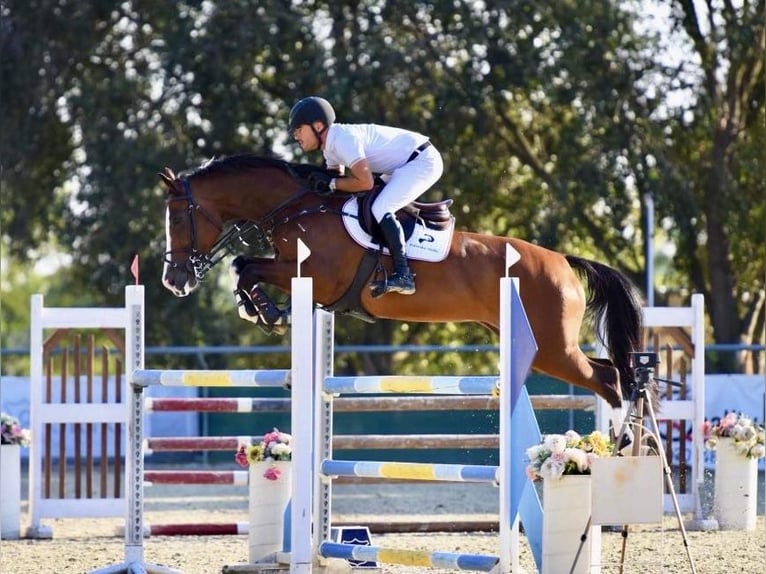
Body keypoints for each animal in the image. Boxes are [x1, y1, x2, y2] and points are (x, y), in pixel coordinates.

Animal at [160, 155, 648, 412]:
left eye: (178, 219)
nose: (173, 280)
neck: (299, 207)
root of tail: (563, 261)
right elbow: (243, 264)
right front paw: (258, 308)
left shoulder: (314, 277)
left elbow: (247, 266)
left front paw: (267, 311)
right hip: (541, 344)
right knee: (609, 373)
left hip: (550, 348)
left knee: (609, 378)